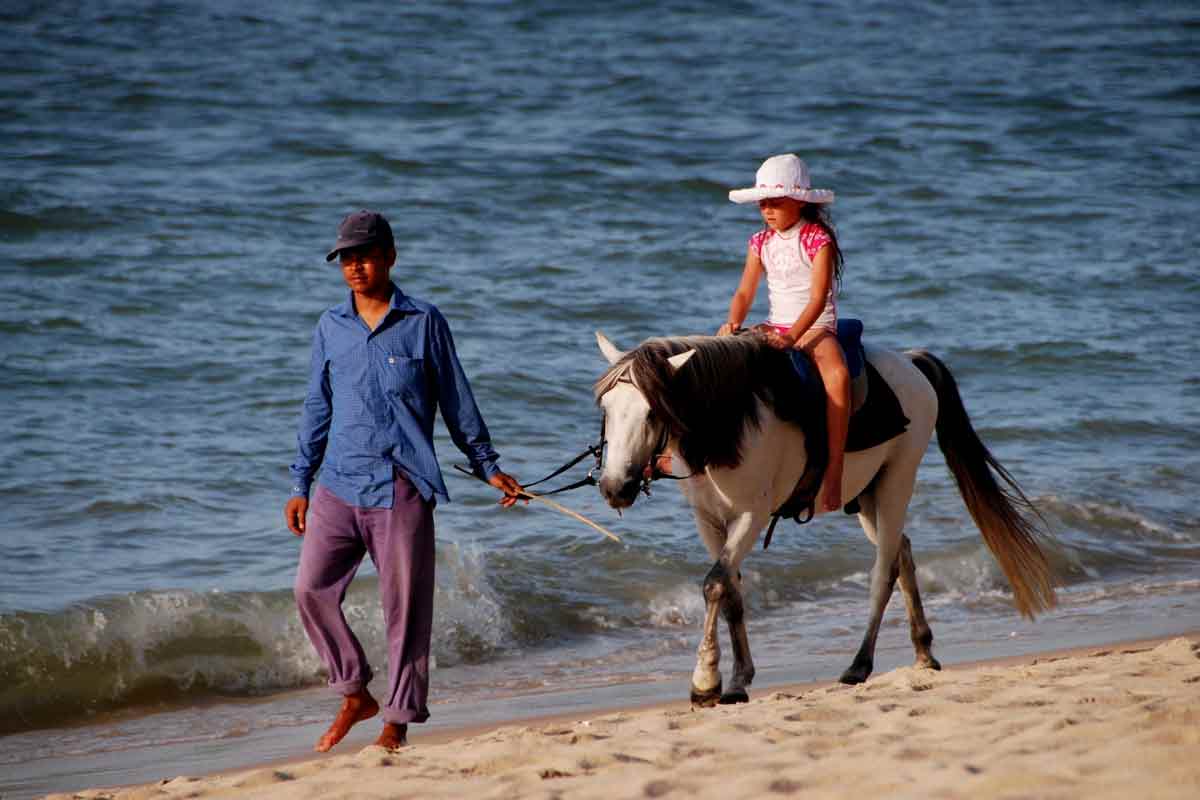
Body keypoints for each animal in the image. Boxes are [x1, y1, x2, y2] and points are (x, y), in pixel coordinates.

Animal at [595, 331, 1056, 705]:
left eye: (652, 413)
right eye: (607, 409)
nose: (615, 486)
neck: (732, 423)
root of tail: (911, 362)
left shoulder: (751, 515)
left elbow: (714, 584)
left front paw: (705, 680)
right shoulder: (709, 521)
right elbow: (730, 593)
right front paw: (738, 679)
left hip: (897, 481)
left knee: (883, 570)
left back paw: (860, 664)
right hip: (868, 495)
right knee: (902, 551)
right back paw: (923, 651)